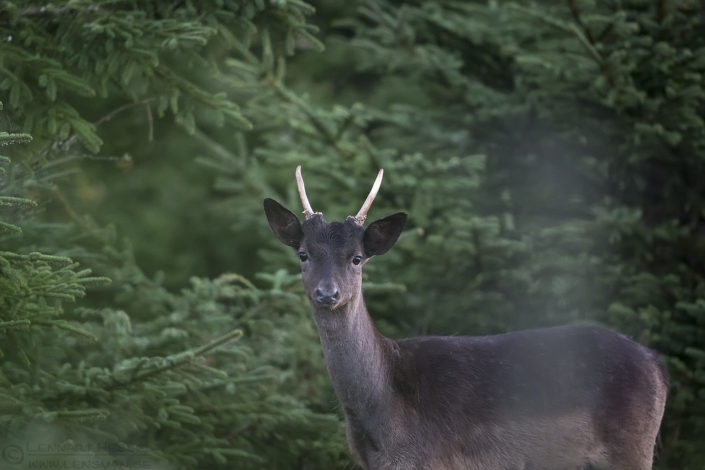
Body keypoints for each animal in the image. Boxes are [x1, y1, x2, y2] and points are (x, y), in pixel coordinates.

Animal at [263, 166, 668, 470]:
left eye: (357, 258)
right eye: (303, 254)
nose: (327, 293)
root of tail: (658, 366)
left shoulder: (433, 460)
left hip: (631, 447)